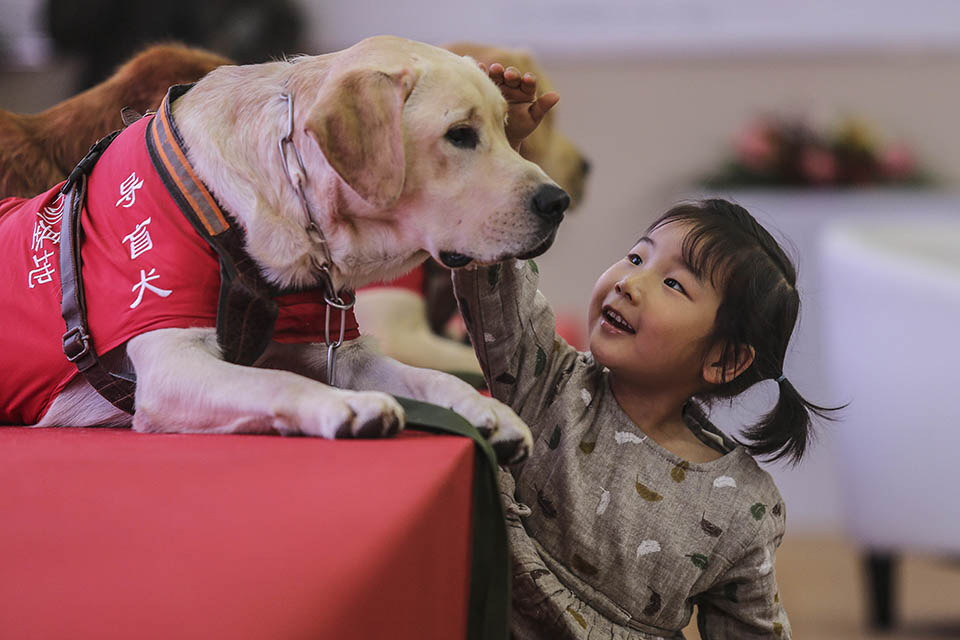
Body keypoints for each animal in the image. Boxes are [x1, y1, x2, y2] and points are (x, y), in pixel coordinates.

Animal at [24, 35, 568, 460]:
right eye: (459, 135)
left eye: (505, 130)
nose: (557, 201)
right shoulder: (169, 362)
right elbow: (274, 381)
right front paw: (343, 404)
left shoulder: (346, 354)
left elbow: (433, 377)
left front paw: (486, 409)